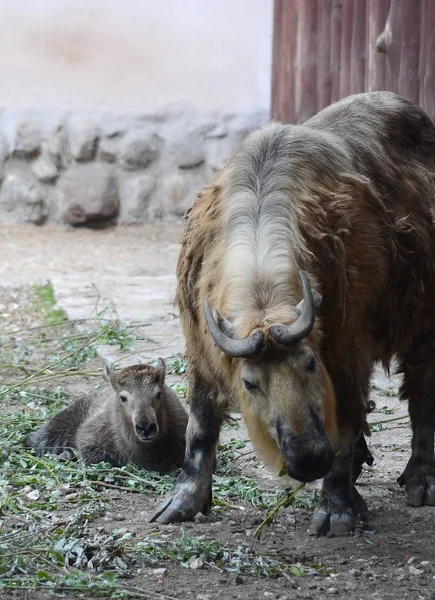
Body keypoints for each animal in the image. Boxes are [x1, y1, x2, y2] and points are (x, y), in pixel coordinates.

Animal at [152, 92, 435, 536]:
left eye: (310, 363)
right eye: (250, 383)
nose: (309, 461)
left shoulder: (347, 351)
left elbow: (346, 420)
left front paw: (337, 507)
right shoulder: (200, 348)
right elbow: (199, 427)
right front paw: (183, 500)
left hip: (423, 326)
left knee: (422, 397)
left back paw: (421, 479)